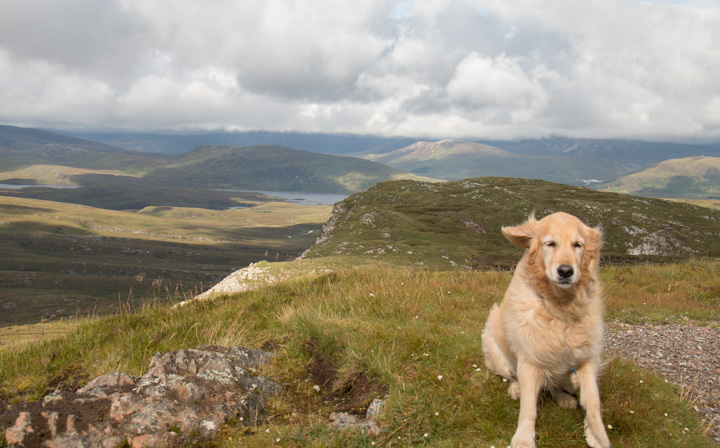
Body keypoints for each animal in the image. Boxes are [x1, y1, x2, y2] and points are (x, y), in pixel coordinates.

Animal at [480, 213, 612, 448]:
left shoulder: (586, 356)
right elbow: (528, 407)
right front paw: (523, 438)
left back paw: (565, 398)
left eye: (578, 245)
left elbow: (593, 400)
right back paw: (515, 389)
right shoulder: (529, 357)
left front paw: (597, 435)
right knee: (513, 377)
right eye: (550, 244)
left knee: (554, 385)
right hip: (495, 349)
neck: (560, 307)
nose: (566, 271)